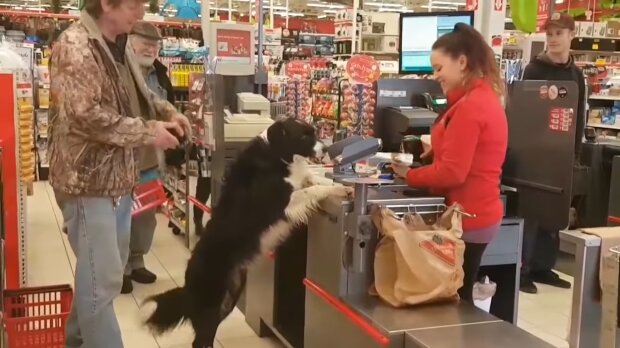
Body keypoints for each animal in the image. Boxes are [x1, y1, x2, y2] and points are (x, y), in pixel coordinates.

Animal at [142, 119, 352, 348]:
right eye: (305, 136)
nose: (326, 150)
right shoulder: (281, 204)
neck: (276, 153)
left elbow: (313, 179)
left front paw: (340, 186)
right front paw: (333, 189)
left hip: (229, 298)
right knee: (200, 340)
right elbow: (310, 190)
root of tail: (187, 285)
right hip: (213, 303)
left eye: (314, 132)